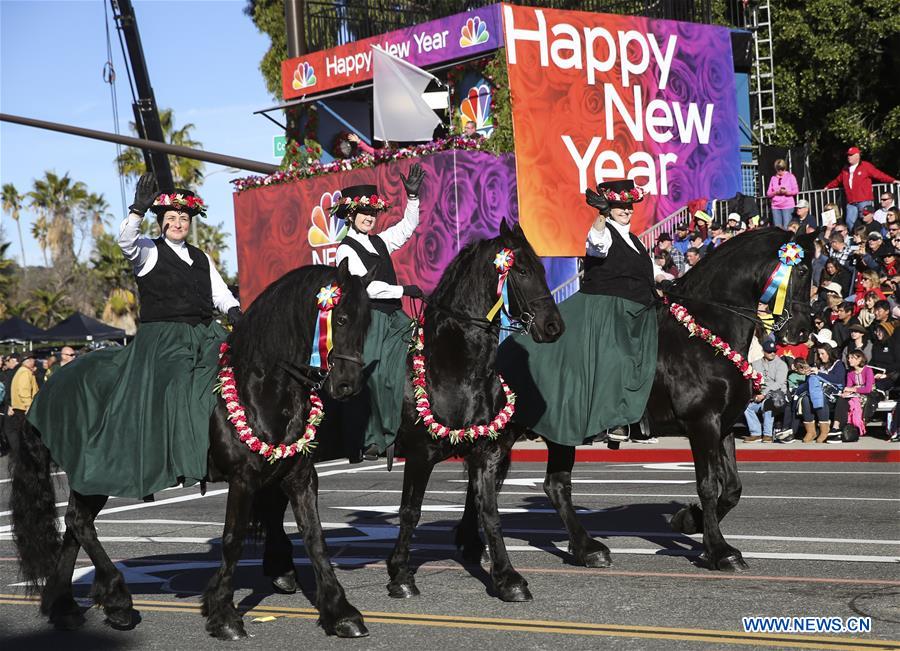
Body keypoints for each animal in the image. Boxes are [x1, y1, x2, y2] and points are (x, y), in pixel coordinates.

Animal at [7, 258, 372, 636]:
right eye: (340, 319)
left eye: (367, 321)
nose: (348, 385)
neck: (260, 388)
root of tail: (48, 389)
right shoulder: (243, 479)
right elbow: (232, 540)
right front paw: (223, 613)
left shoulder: (299, 476)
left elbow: (315, 538)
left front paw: (340, 611)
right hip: (94, 474)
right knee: (79, 523)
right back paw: (117, 600)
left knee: (73, 528)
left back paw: (64, 605)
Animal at [460, 228, 820, 572]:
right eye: (802, 269)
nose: (803, 331)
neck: (705, 334)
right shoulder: (702, 423)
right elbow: (707, 485)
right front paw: (719, 551)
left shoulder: (726, 424)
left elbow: (731, 488)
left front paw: (689, 520)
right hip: (516, 431)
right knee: (491, 480)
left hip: (556, 434)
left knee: (549, 485)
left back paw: (580, 549)